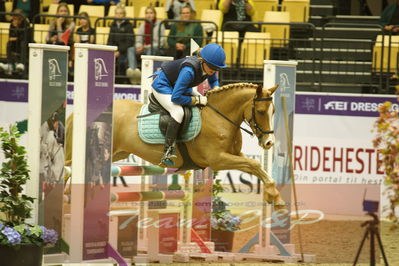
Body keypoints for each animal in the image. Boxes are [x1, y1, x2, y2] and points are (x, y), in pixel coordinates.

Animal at [65, 83, 284, 208]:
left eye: (274, 111)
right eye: (261, 111)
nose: (269, 142)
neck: (219, 116)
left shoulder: (234, 155)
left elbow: (255, 166)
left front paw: (275, 197)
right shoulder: (218, 160)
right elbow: (255, 165)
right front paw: (275, 196)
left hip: (117, 153)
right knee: (68, 169)